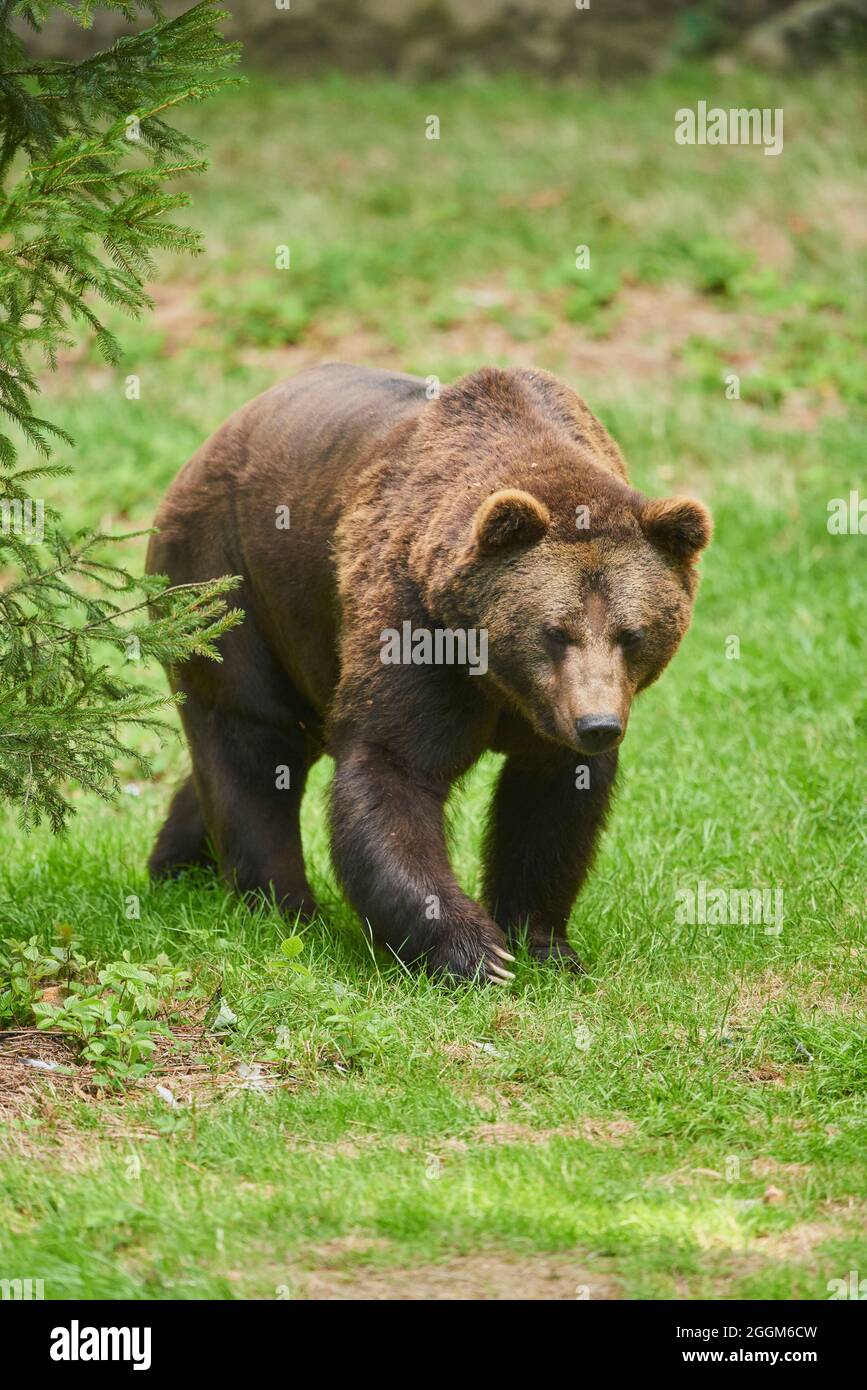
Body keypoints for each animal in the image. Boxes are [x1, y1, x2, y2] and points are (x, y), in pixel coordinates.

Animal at [146, 363, 711, 982]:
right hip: (231, 582)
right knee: (250, 736)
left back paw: (176, 866)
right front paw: (477, 953)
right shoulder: (413, 627)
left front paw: (542, 943)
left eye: (631, 635)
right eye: (555, 632)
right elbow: (393, 768)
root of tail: (204, 449)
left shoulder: (548, 718)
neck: (499, 682)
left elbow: (551, 806)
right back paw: (284, 906)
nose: (598, 724)